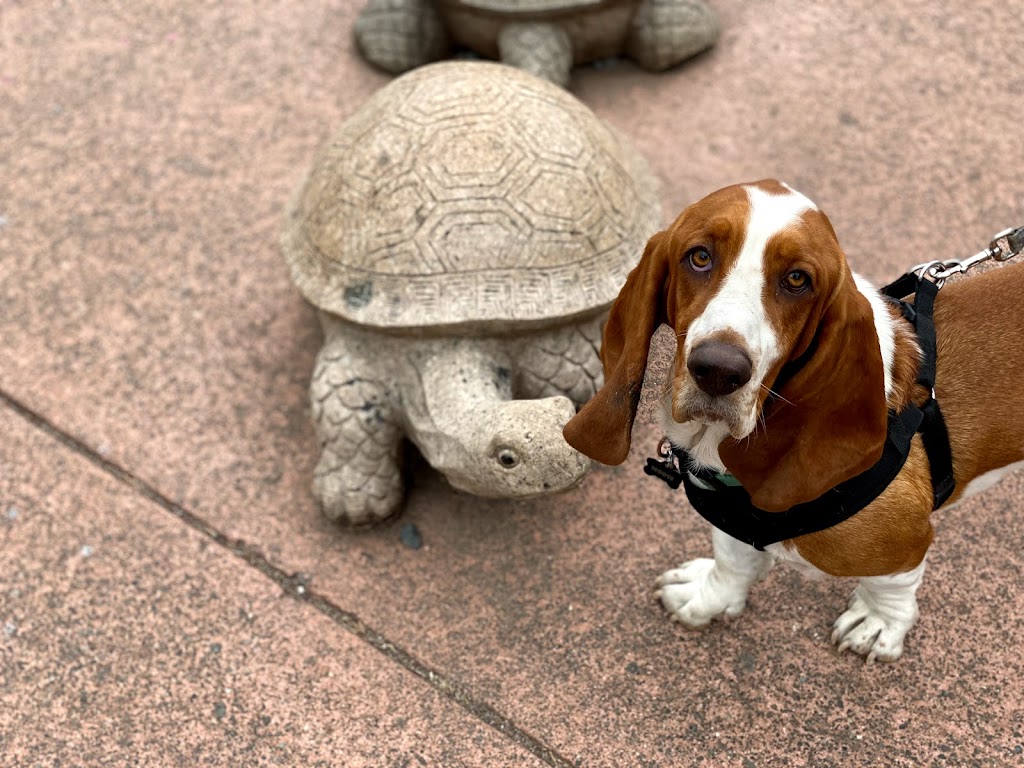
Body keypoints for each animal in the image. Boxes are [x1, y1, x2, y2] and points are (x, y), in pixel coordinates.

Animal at [565, 179, 1024, 663]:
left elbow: (892, 588)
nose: (719, 370)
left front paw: (878, 625)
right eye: (700, 256)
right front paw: (709, 597)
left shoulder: (905, 543)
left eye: (797, 280)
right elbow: (732, 559)